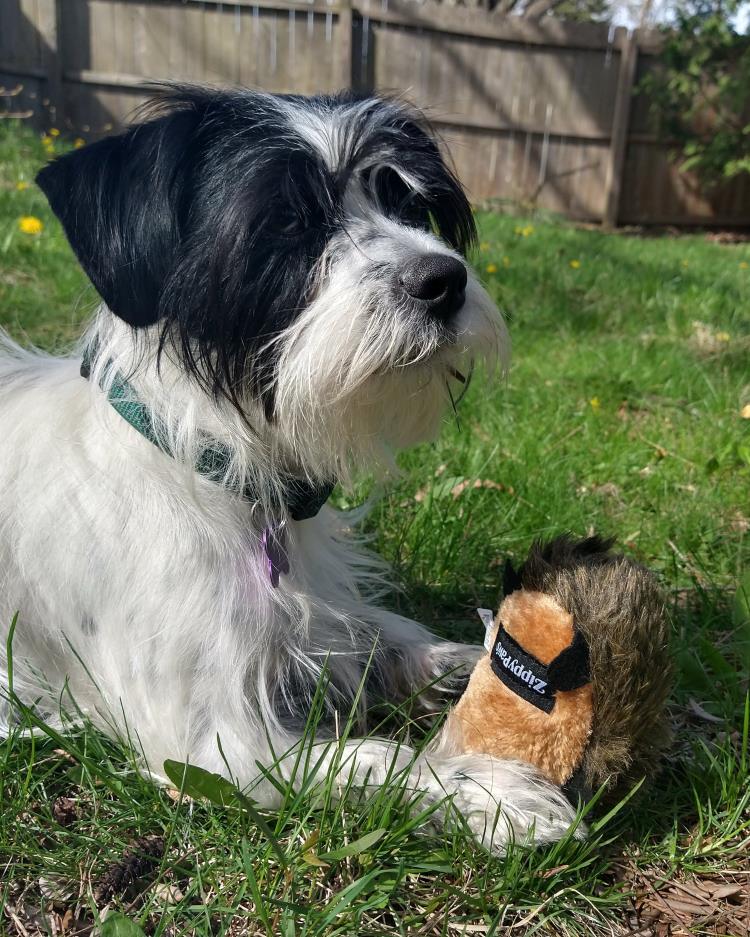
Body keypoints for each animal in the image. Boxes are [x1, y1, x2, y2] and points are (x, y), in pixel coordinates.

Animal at [0, 91, 580, 852]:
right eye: (284, 220)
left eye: (406, 202)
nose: (444, 280)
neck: (213, 468)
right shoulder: (214, 746)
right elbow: (374, 759)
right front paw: (487, 789)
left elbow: (379, 630)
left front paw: (464, 659)